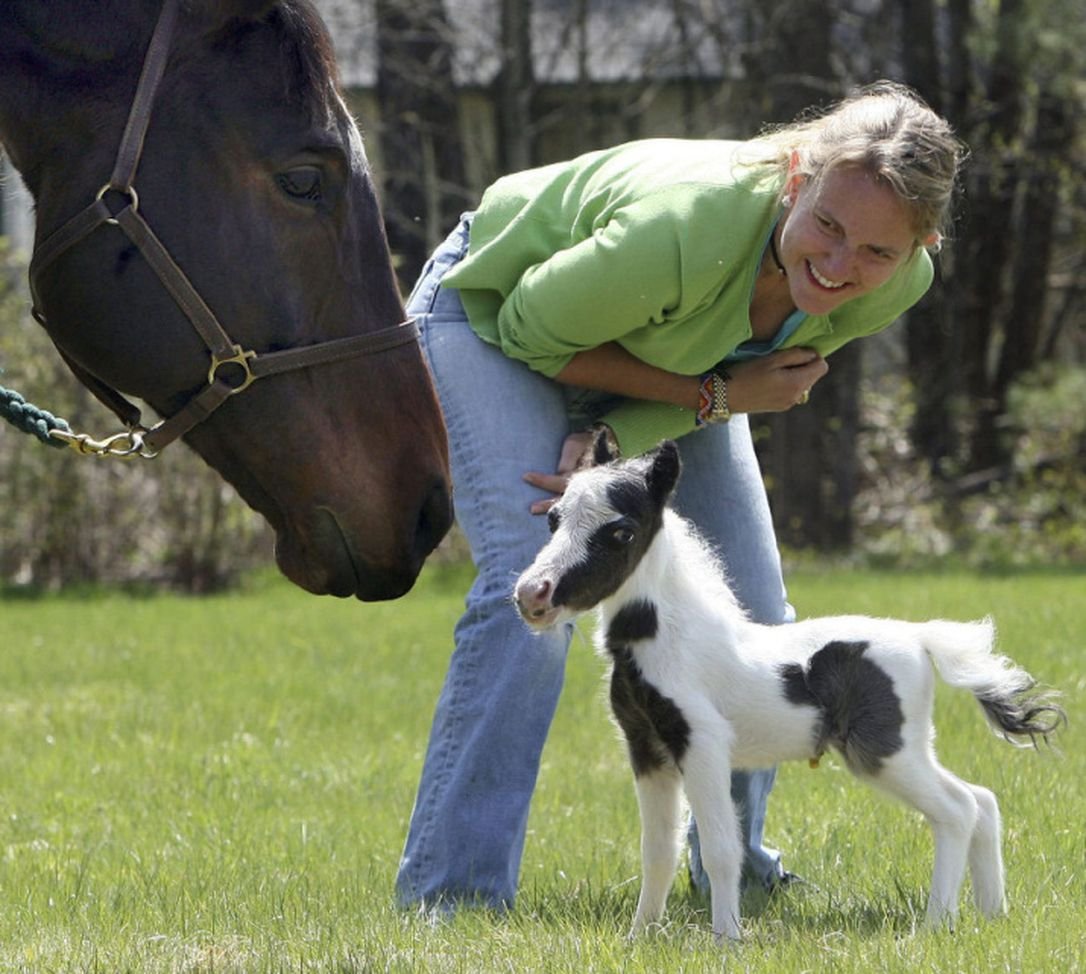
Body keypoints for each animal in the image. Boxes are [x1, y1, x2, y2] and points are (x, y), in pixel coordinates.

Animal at [512, 438, 1064, 942]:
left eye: (621, 531)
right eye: (554, 519)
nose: (532, 595)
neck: (671, 639)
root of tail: (921, 637)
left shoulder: (703, 744)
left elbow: (721, 849)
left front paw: (726, 940)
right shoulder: (646, 748)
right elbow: (658, 851)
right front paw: (639, 938)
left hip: (883, 751)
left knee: (957, 810)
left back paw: (935, 925)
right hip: (902, 748)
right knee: (982, 800)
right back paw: (992, 915)